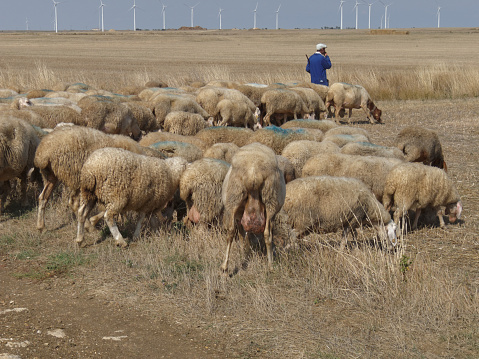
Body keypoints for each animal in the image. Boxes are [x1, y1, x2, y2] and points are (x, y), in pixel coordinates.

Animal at [33, 125, 165, 232]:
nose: (161, 224)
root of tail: (43, 153)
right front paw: (95, 220)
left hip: (50, 176)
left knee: (43, 197)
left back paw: (41, 226)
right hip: (76, 177)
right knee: (74, 203)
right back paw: (88, 227)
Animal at [221, 142, 284, 272]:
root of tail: (253, 173)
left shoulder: (239, 215)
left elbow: (241, 234)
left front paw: (242, 253)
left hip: (233, 199)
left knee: (230, 231)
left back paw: (225, 267)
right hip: (270, 200)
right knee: (267, 234)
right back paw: (270, 266)